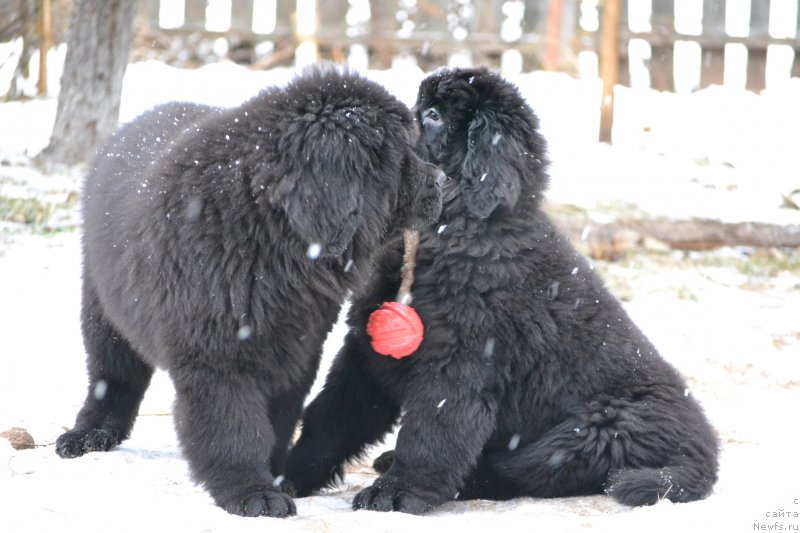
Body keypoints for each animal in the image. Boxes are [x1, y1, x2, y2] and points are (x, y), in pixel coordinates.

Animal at [54, 65, 444, 516]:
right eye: (402, 155)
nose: (444, 179)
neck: (272, 235)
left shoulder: (296, 348)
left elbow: (276, 422)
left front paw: (276, 479)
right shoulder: (215, 353)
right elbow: (232, 427)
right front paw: (252, 494)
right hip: (102, 305)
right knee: (111, 374)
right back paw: (88, 435)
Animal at [286, 66, 720, 512]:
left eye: (434, 115)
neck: (457, 231)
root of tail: (705, 453)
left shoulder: (458, 364)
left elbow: (429, 436)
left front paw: (394, 493)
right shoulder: (367, 353)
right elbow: (329, 420)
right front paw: (286, 477)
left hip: (598, 429)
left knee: (526, 469)